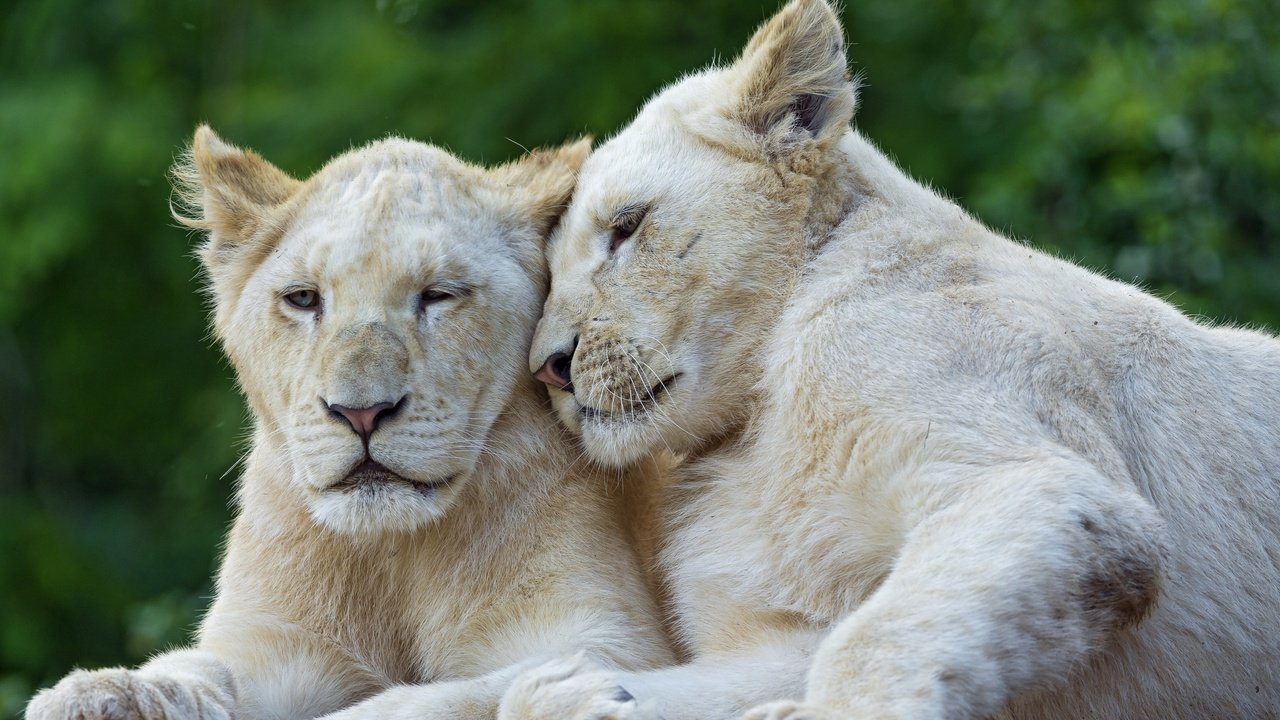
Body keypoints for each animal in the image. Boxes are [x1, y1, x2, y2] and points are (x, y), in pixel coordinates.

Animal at [24, 127, 675, 717]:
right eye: (303, 298)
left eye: (438, 295)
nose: (360, 412)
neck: (392, 553)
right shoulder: (274, 642)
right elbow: (198, 668)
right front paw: (98, 692)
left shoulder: (606, 636)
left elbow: (417, 701)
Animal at [509, 1, 1280, 717]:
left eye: (627, 227)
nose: (548, 366)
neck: (752, 432)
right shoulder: (786, 626)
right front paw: (573, 693)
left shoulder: (1034, 474)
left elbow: (875, 642)